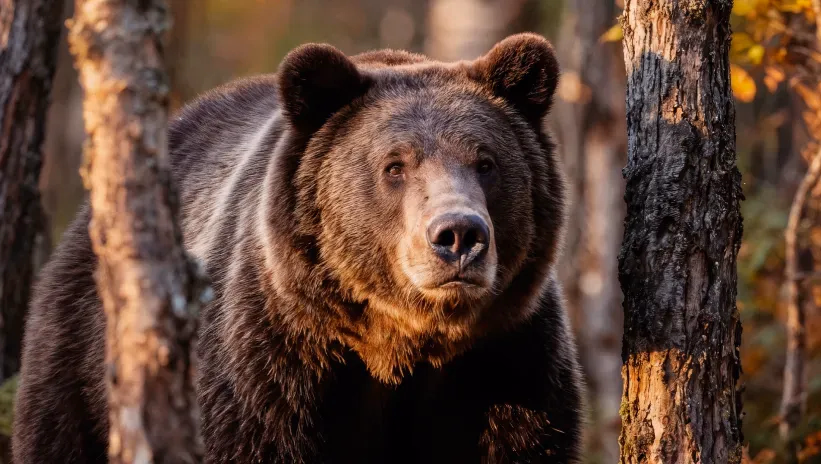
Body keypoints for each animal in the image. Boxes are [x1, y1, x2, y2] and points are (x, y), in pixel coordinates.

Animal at [13, 33, 583, 463]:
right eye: (395, 166)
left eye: (486, 162)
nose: (459, 235)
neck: (401, 344)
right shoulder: (268, 366)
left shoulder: (508, 362)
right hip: (78, 363)